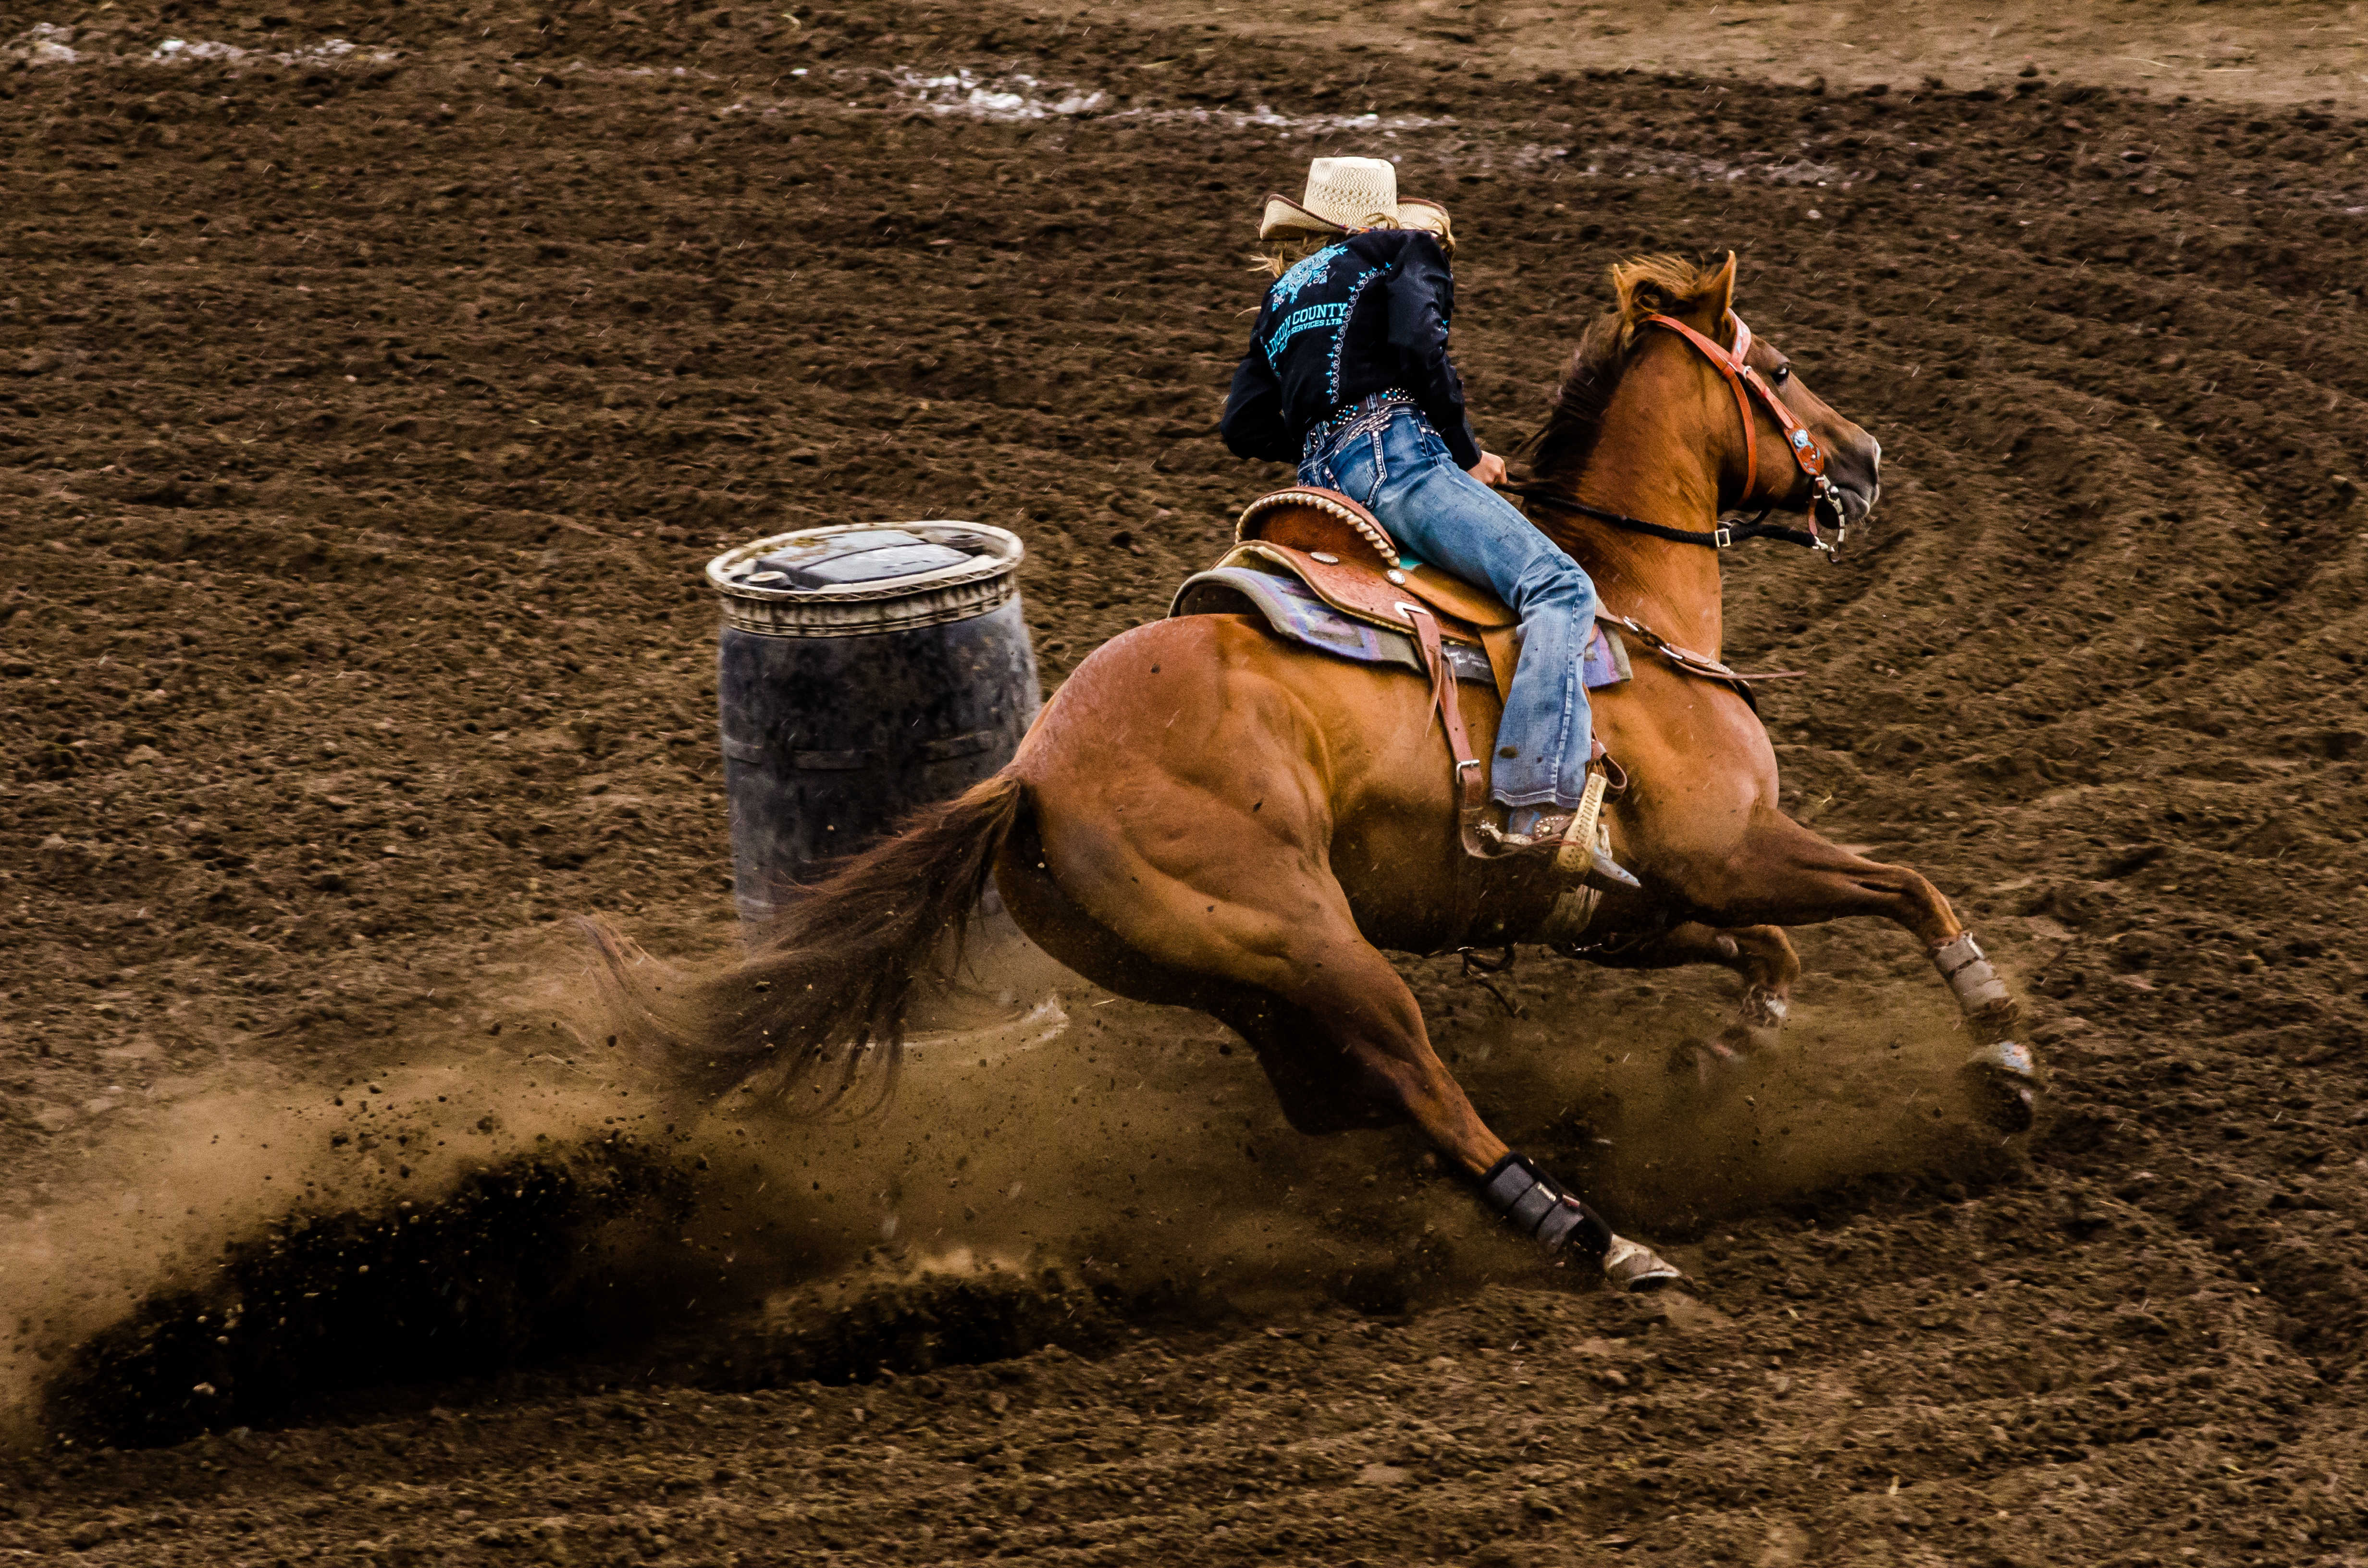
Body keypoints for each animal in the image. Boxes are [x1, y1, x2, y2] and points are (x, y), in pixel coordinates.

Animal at [582, 255, 2027, 1288]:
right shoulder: (1731, 848)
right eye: (1777, 366)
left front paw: (1721, 1056)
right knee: (1419, 1087)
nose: (1867, 463)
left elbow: (1771, 956)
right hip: (1317, 941)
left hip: (1236, 975)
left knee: (1339, 1101)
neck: (1623, 597)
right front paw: (2000, 1048)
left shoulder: (1620, 906)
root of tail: (1032, 774)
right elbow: (1912, 887)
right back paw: (1592, 1235)